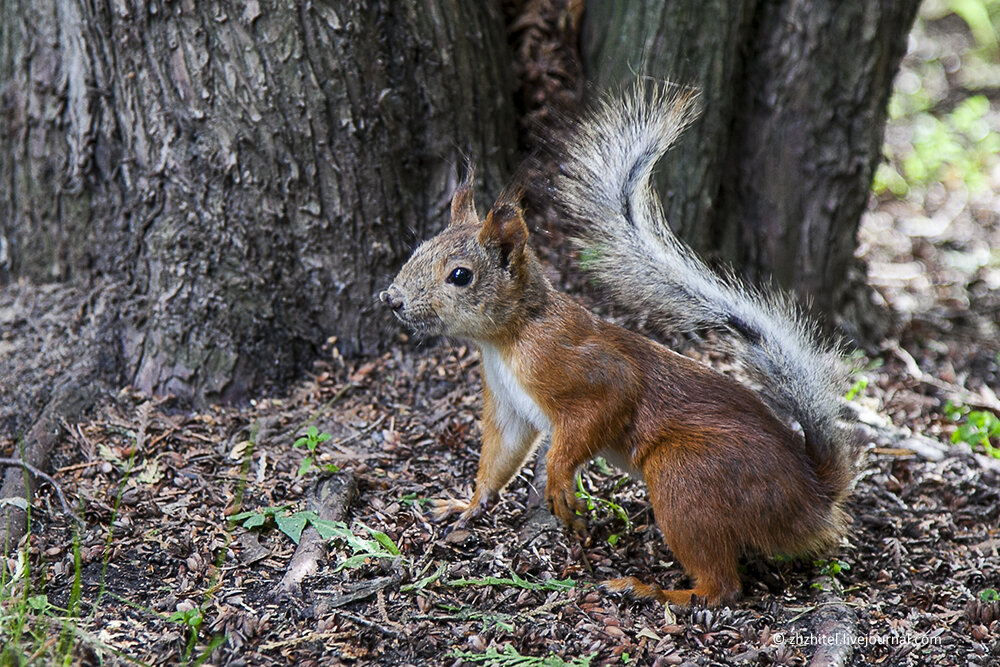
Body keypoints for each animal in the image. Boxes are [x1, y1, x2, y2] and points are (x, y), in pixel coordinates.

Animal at [378, 82, 856, 604]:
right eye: (420, 248)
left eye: (460, 276)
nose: (392, 299)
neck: (507, 339)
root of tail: (812, 496)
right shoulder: (506, 403)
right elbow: (501, 454)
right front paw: (468, 503)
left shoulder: (584, 368)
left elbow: (599, 411)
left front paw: (558, 483)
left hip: (686, 475)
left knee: (722, 588)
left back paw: (655, 591)